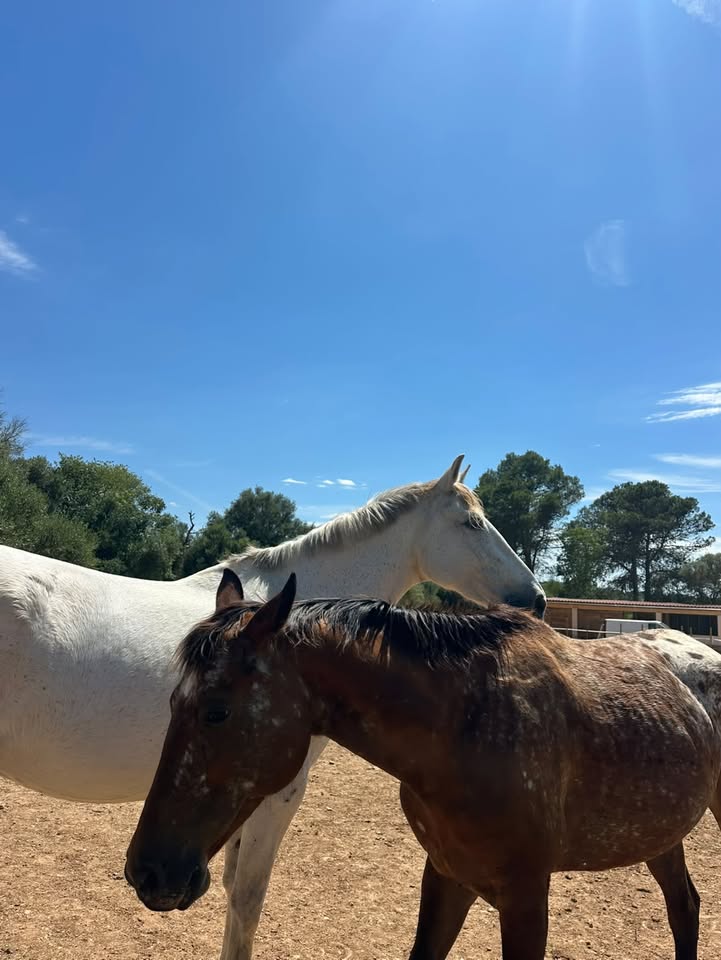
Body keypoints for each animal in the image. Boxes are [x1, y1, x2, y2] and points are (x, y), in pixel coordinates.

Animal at [126, 571, 721, 960]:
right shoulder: (446, 874)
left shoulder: (527, 897)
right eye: (174, 703)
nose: (146, 872)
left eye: (216, 710)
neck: (469, 726)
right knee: (685, 908)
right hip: (659, 834)